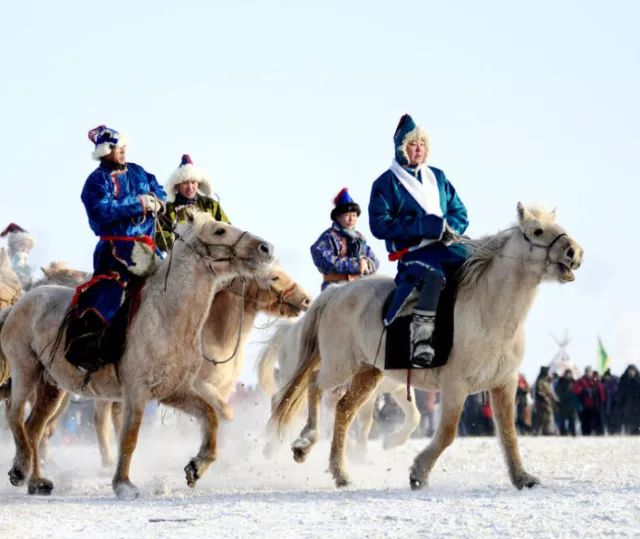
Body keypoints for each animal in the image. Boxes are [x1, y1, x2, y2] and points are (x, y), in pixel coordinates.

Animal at [0, 213, 272, 500]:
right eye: (220, 231)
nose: (266, 248)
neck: (165, 316)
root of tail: (17, 306)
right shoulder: (136, 393)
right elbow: (129, 438)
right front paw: (123, 485)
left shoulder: (173, 391)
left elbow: (209, 416)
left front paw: (197, 467)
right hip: (25, 369)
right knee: (15, 415)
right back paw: (19, 470)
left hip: (51, 386)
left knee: (33, 428)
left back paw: (36, 481)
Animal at [272, 205, 584, 492]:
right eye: (537, 231)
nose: (575, 252)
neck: (488, 311)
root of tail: (336, 294)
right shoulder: (455, 385)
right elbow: (446, 432)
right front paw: (418, 473)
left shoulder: (503, 383)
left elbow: (508, 433)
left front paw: (522, 477)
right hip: (340, 365)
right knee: (314, 385)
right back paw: (304, 443)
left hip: (368, 373)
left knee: (344, 410)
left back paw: (341, 473)